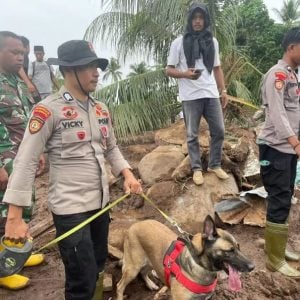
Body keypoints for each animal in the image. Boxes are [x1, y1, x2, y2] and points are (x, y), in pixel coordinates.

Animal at [116, 214, 254, 298]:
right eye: (229, 251)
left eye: (238, 247)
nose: (253, 267)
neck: (200, 266)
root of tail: (134, 225)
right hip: (132, 268)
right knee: (120, 286)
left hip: (151, 260)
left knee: (144, 272)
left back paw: (150, 284)